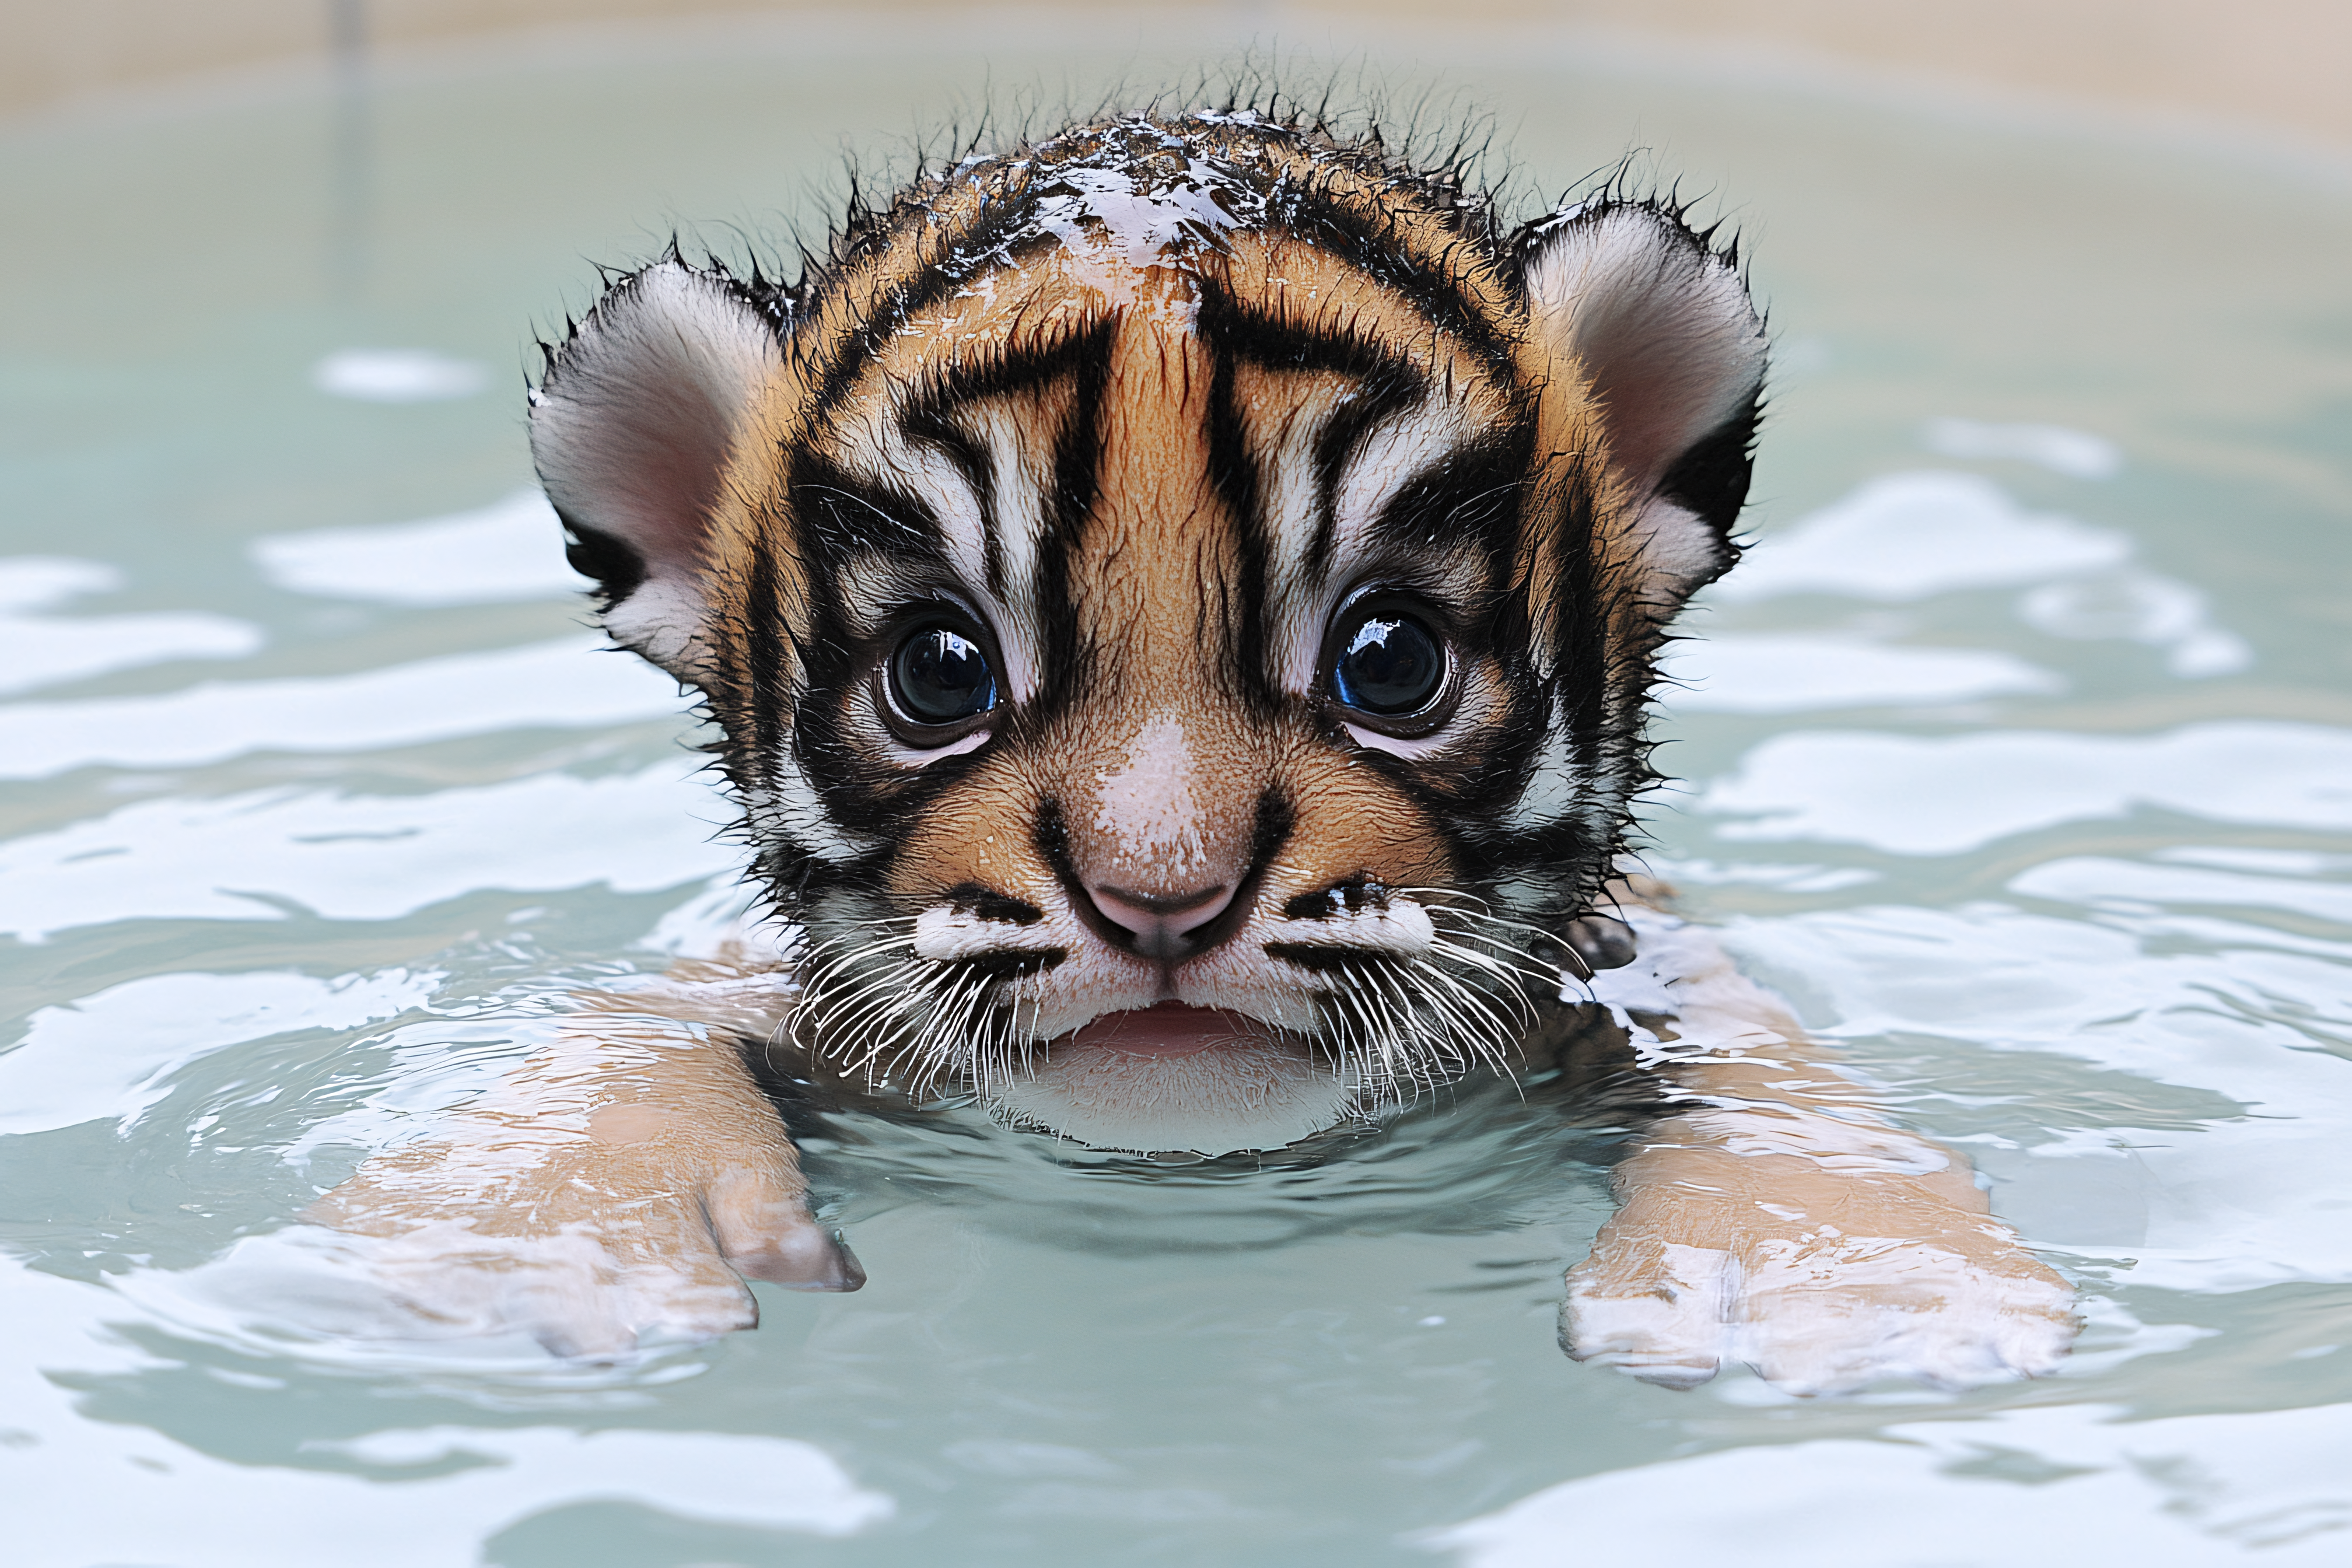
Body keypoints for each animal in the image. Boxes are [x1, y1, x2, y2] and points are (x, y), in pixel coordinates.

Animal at [317, 104, 2077, 1392]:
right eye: (939, 673)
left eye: (1391, 661)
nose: (1160, 892)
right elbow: (641, 1027)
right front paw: (531, 1243)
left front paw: (1849, 1276)